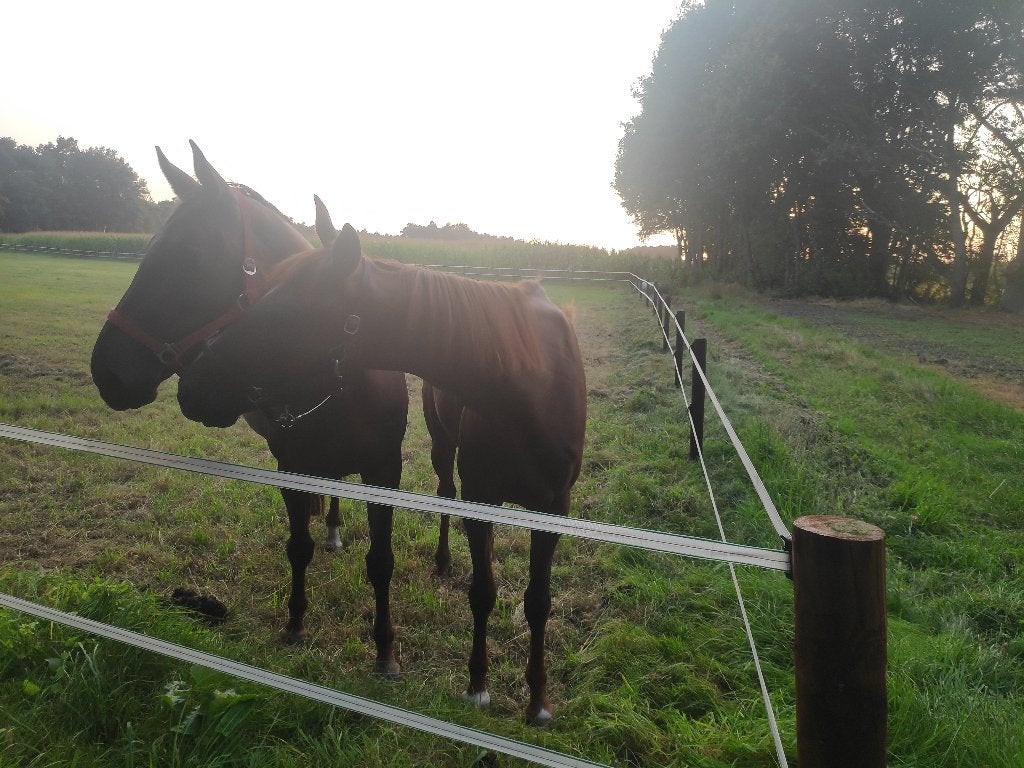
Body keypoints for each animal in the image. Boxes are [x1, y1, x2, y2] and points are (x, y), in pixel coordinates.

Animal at [89, 144, 445, 678]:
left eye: (190, 255)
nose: (107, 371)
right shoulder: (290, 465)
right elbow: (298, 547)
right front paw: (295, 624)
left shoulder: (385, 470)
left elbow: (382, 561)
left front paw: (385, 650)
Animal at [176, 199, 587, 724]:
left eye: (286, 313)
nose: (192, 384)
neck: (528, 387)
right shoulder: (481, 500)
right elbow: (483, 591)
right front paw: (478, 684)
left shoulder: (554, 509)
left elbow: (537, 602)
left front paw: (537, 701)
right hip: (443, 450)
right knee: (444, 494)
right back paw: (441, 561)